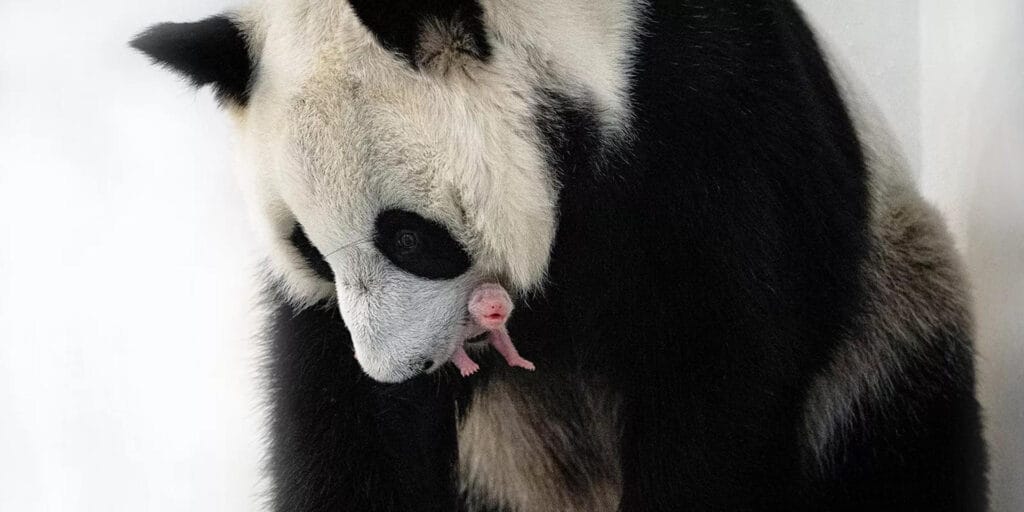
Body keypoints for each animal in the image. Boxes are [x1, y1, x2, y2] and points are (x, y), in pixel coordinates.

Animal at [132, 1, 988, 510]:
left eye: (410, 236)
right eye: (307, 247)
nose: (399, 367)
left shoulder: (716, 125)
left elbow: (726, 360)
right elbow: (344, 413)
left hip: (892, 313)